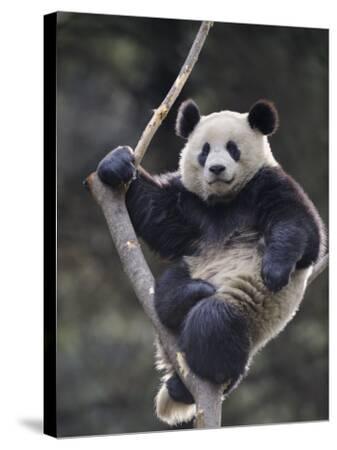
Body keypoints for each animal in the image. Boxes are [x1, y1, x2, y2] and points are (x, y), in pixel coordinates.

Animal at [97, 98, 326, 426]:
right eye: (204, 150)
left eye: (232, 148)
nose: (216, 168)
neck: (225, 200)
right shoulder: (192, 204)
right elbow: (159, 215)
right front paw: (116, 165)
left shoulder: (269, 184)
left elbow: (300, 226)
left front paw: (275, 270)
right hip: (192, 267)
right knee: (169, 291)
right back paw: (192, 294)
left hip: (247, 315)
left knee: (215, 322)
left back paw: (202, 376)